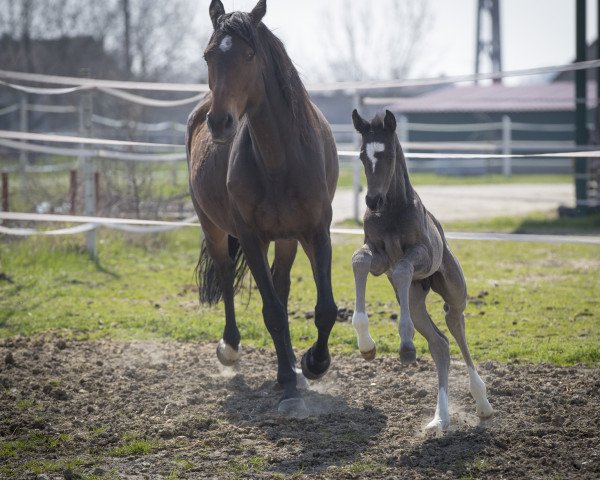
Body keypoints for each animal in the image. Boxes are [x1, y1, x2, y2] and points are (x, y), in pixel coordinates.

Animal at [188, 0, 338, 416]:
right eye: (209, 55)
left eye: (249, 55)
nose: (221, 122)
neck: (280, 158)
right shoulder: (252, 237)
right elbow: (271, 311)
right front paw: (287, 381)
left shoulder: (316, 232)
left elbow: (324, 308)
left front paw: (313, 364)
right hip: (212, 226)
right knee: (226, 274)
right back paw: (231, 348)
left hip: (286, 238)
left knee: (281, 284)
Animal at [350, 109, 494, 432]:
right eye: (363, 155)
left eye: (389, 154)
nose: (372, 201)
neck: (391, 211)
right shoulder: (379, 258)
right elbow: (359, 261)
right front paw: (366, 345)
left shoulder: (421, 256)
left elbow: (403, 267)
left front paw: (405, 345)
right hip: (416, 300)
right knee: (440, 344)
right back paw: (440, 417)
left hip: (453, 291)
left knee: (455, 324)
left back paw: (482, 402)